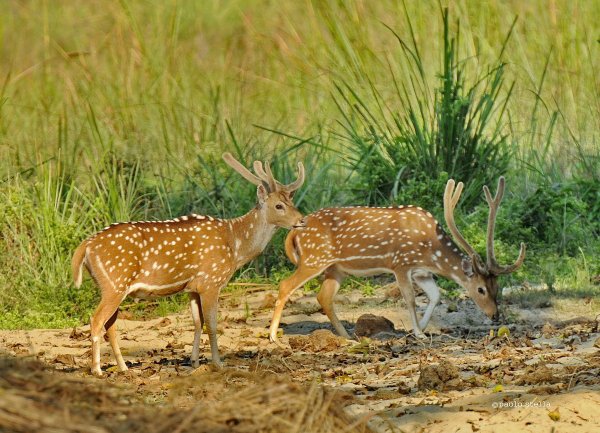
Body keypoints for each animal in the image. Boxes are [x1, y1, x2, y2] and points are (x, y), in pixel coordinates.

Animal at [72, 152, 304, 374]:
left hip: (112, 287)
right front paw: (218, 364)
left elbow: (197, 322)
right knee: (96, 320)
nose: (301, 220)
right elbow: (212, 324)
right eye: (279, 205)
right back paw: (97, 370)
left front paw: (194, 361)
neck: (235, 245)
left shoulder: (193, 287)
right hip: (114, 282)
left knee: (109, 325)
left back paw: (123, 367)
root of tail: (85, 246)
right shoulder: (212, 281)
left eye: (292, 202)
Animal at [268, 177, 524, 342]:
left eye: (497, 287)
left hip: (335, 268)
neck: (431, 251)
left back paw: (347, 336)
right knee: (285, 285)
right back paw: (272, 336)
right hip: (314, 258)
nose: (495, 315)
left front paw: (421, 327)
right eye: (481, 289)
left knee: (324, 297)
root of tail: (294, 231)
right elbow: (410, 298)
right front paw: (419, 332)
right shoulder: (400, 263)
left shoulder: (422, 272)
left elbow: (435, 296)